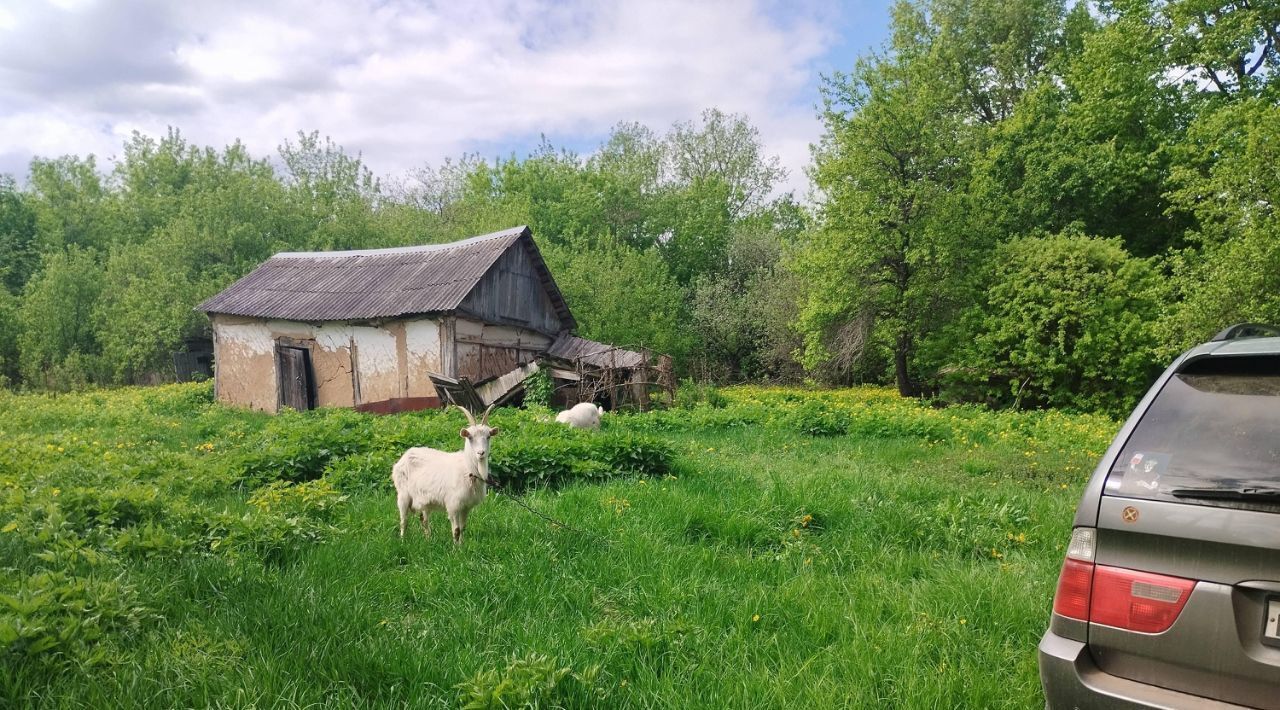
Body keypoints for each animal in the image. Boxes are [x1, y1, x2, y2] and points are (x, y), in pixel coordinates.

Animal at [394, 406, 499, 544]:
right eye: (470, 437)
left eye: (488, 436)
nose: (481, 453)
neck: (468, 470)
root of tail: (405, 455)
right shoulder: (453, 504)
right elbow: (456, 530)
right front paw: (455, 548)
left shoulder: (466, 506)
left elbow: (463, 527)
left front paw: (462, 545)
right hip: (403, 494)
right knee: (404, 520)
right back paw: (402, 541)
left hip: (423, 498)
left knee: (423, 519)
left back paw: (428, 540)